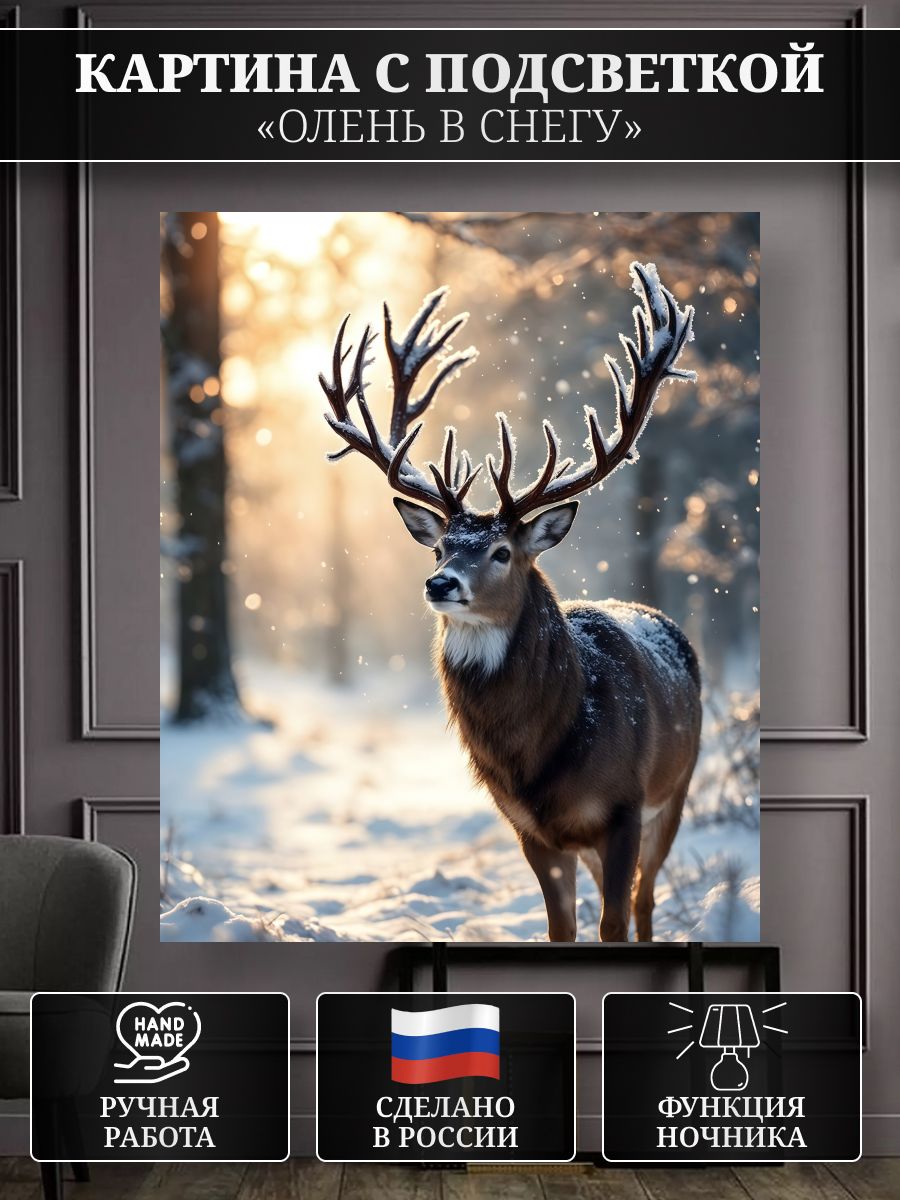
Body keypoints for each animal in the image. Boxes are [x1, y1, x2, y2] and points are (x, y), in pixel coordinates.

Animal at [319, 262, 701, 942]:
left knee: (644, 902)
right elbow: (560, 930)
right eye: (440, 546)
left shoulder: (625, 807)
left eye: (502, 551)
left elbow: (612, 923)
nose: (440, 584)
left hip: (677, 787)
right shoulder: (529, 827)